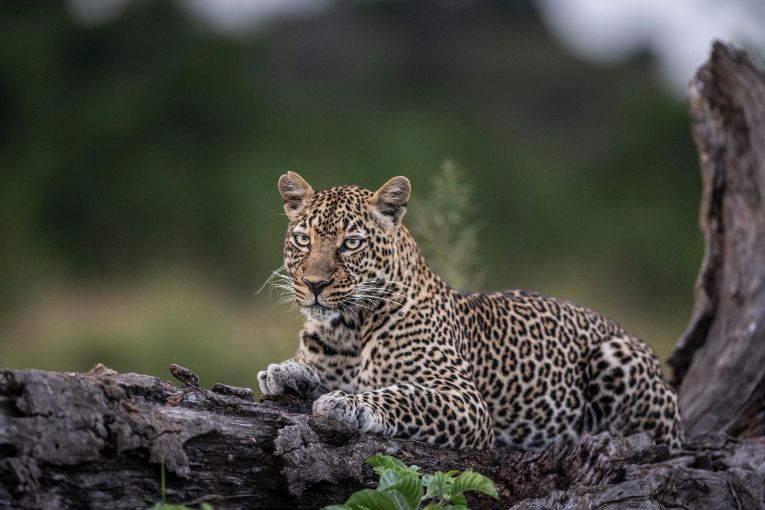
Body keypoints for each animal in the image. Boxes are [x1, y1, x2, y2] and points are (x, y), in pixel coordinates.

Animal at [258, 172, 683, 450]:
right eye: (303, 239)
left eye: (351, 244)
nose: (315, 283)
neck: (346, 328)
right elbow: (306, 368)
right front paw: (286, 372)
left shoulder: (464, 401)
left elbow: (403, 395)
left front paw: (344, 403)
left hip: (617, 357)